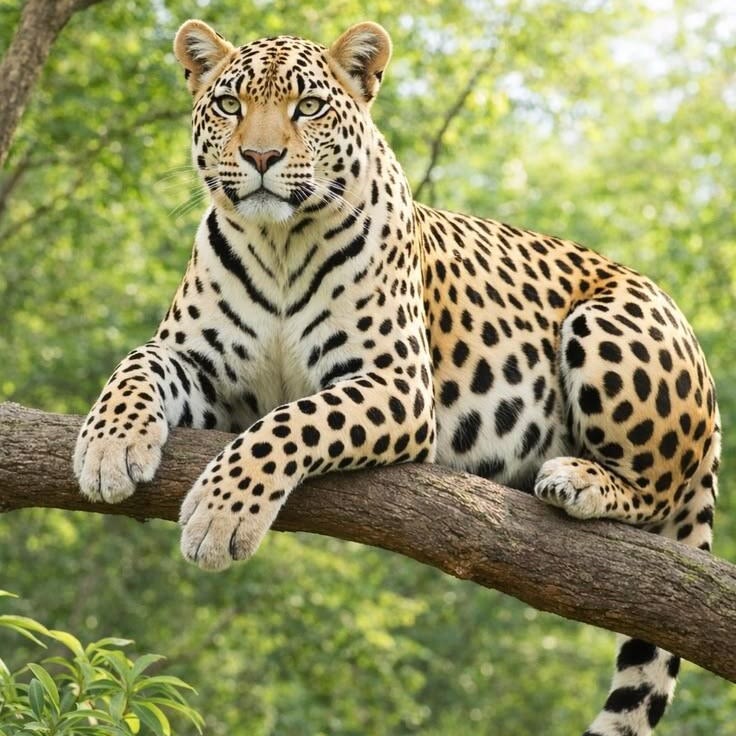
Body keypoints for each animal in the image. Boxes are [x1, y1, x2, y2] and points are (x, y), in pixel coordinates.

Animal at [73, 19, 720, 736]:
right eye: (230, 106)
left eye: (308, 107)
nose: (263, 157)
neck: (278, 244)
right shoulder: (200, 365)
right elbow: (137, 363)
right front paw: (108, 448)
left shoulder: (397, 382)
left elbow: (288, 424)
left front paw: (221, 515)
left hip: (607, 325)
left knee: (656, 491)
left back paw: (577, 480)